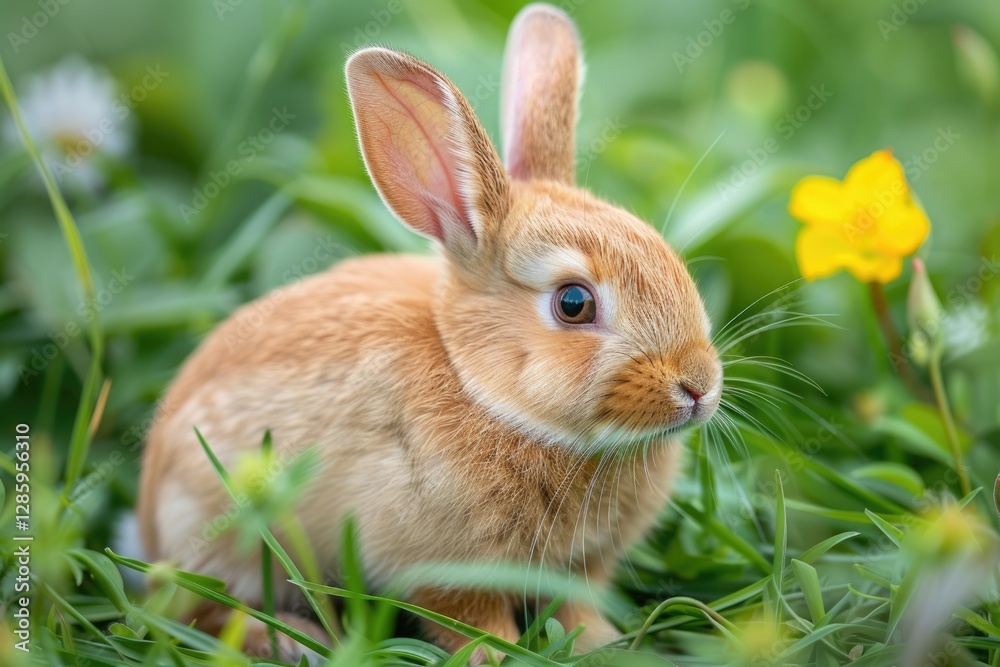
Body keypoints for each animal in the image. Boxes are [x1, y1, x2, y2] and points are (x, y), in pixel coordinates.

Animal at [136, 3, 722, 664]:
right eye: (574, 303)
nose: (699, 386)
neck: (483, 390)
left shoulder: (579, 569)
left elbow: (576, 606)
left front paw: (603, 643)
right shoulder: (441, 568)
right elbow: (469, 618)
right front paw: (498, 655)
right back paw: (288, 639)